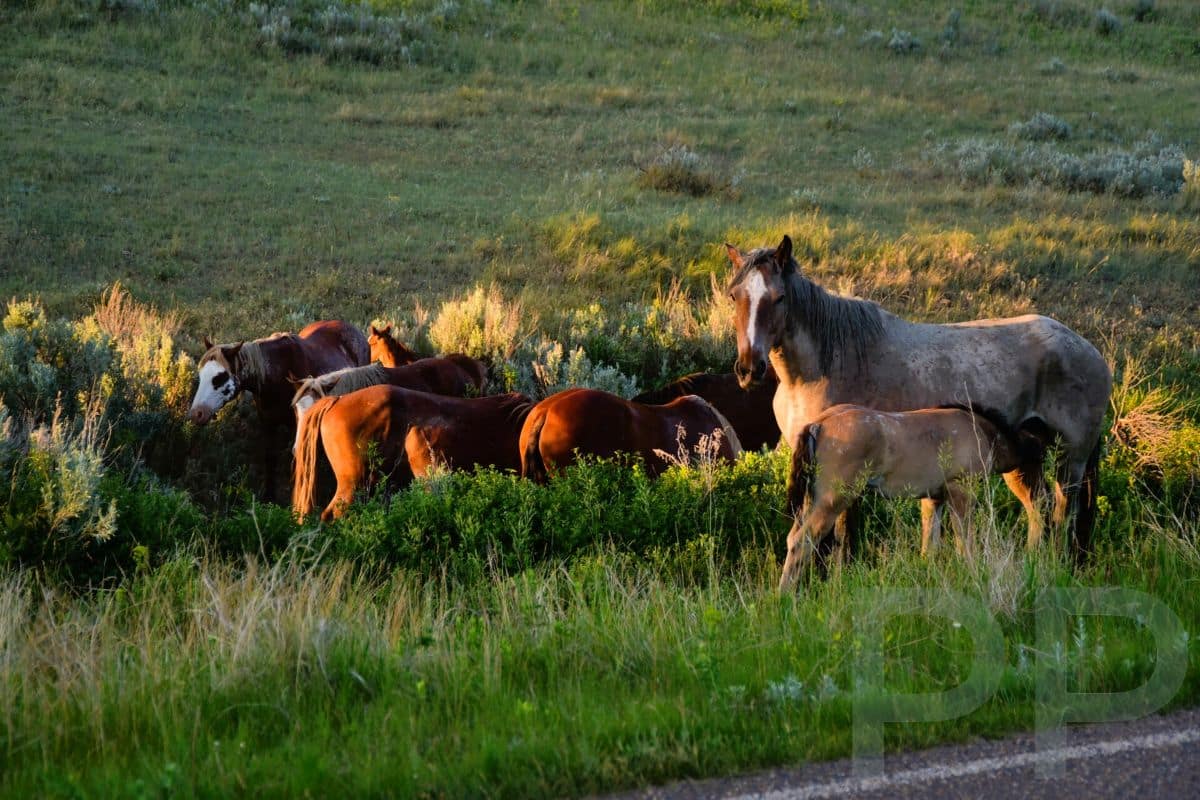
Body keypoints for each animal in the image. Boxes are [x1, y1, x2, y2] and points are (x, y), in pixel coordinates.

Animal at [189, 320, 370, 498]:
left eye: (219, 378)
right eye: (201, 375)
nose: (196, 414)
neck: (277, 375)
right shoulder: (268, 424)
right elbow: (270, 459)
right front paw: (269, 496)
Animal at [726, 235, 1111, 559]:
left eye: (779, 298)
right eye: (734, 296)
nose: (749, 369)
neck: (825, 364)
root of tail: (1091, 351)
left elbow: (842, 537)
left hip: (1071, 458)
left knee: (1064, 512)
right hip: (1024, 461)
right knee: (1038, 507)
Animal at [778, 403, 1048, 590]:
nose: (1040, 494)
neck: (982, 431)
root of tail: (819, 424)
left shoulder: (933, 499)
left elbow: (929, 545)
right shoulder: (960, 491)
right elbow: (965, 543)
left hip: (811, 500)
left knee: (793, 537)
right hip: (833, 499)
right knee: (803, 540)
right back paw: (785, 597)